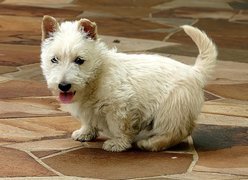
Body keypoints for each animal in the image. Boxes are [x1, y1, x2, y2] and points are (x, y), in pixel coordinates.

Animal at [40, 15, 217, 152]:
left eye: (79, 60)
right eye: (54, 59)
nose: (63, 86)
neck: (97, 75)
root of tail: (194, 71)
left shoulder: (120, 107)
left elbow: (119, 127)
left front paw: (117, 144)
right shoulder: (88, 110)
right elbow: (88, 120)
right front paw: (85, 133)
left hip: (171, 108)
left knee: (174, 132)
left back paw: (150, 143)